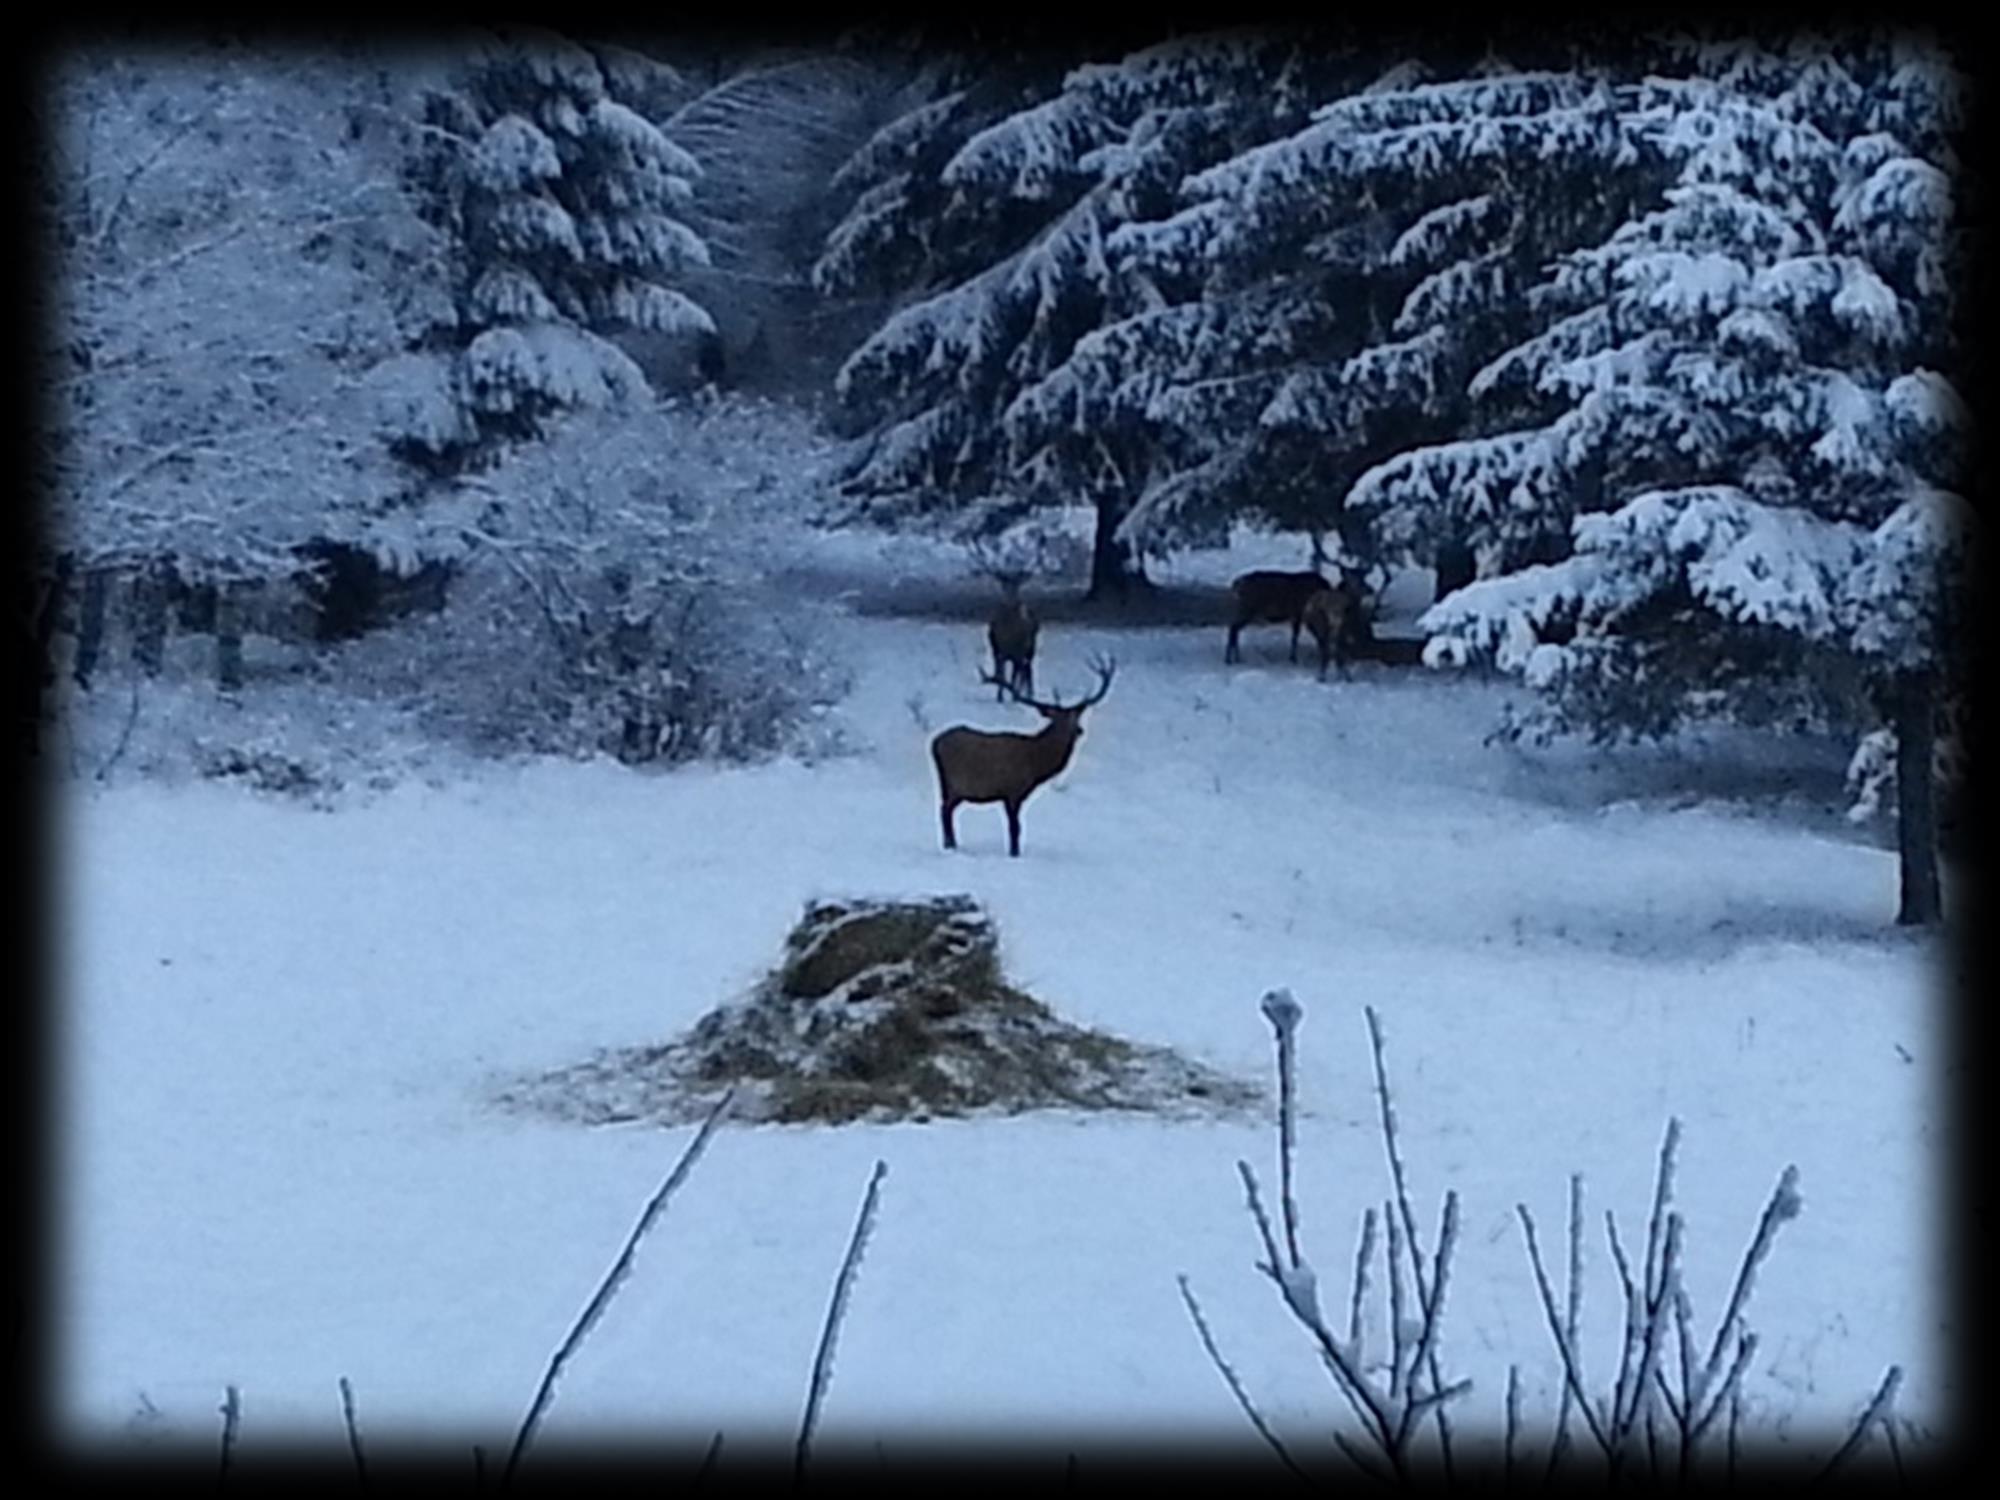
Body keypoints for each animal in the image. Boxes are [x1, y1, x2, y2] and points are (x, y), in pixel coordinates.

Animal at [932, 656, 1120, 856]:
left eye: (1075, 717)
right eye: (1056, 719)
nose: (1078, 730)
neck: (1035, 764)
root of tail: (934, 742)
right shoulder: (1012, 791)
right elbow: (1015, 827)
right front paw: (1014, 853)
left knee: (946, 810)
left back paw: (951, 845)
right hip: (954, 784)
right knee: (945, 810)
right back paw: (950, 846)